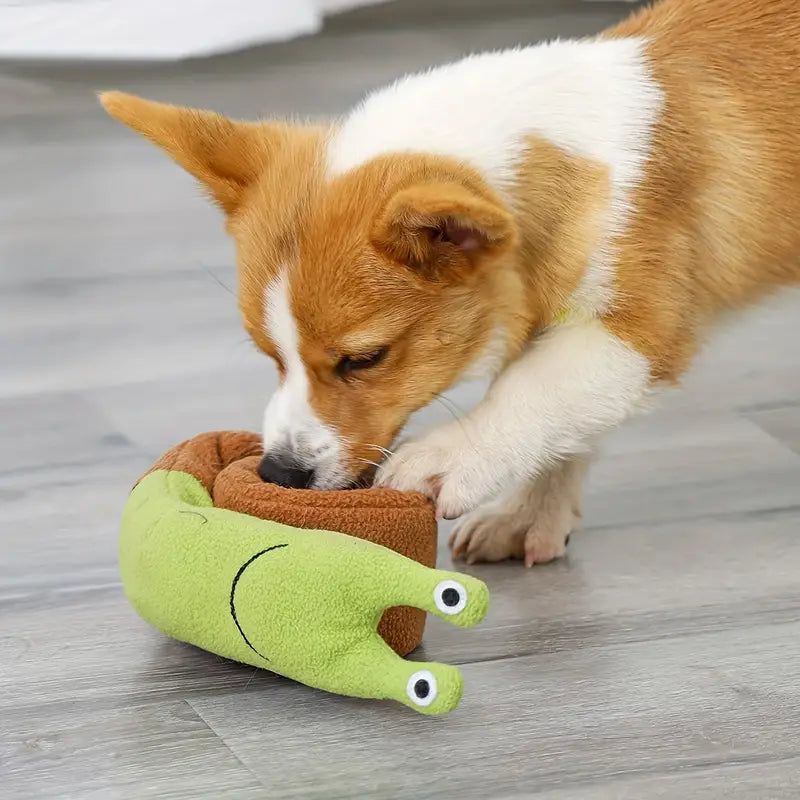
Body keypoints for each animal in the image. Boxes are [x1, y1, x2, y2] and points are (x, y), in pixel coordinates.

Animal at [100, 0, 800, 564]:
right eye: (270, 355)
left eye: (366, 359)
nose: (281, 474)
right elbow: (564, 424)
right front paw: (529, 517)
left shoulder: (635, 331)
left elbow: (531, 394)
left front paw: (452, 458)